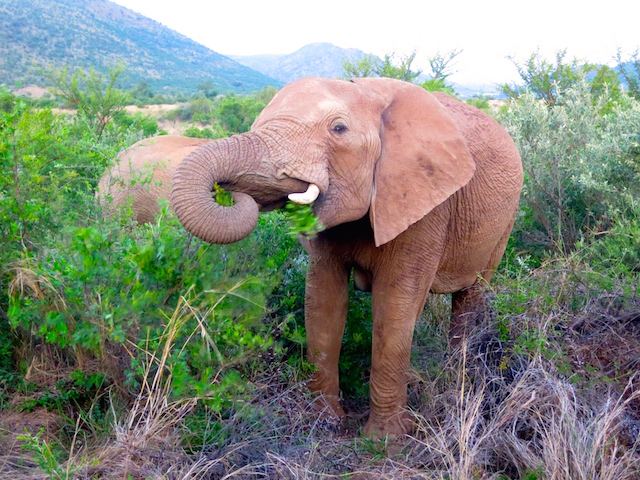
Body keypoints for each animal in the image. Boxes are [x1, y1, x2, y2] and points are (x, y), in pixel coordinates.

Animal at [170, 76, 524, 438]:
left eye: (338, 129)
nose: (231, 191)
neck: (368, 91)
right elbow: (324, 302)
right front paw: (325, 421)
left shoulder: (424, 203)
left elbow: (393, 307)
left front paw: (385, 440)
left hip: (505, 223)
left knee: (470, 296)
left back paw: (457, 375)